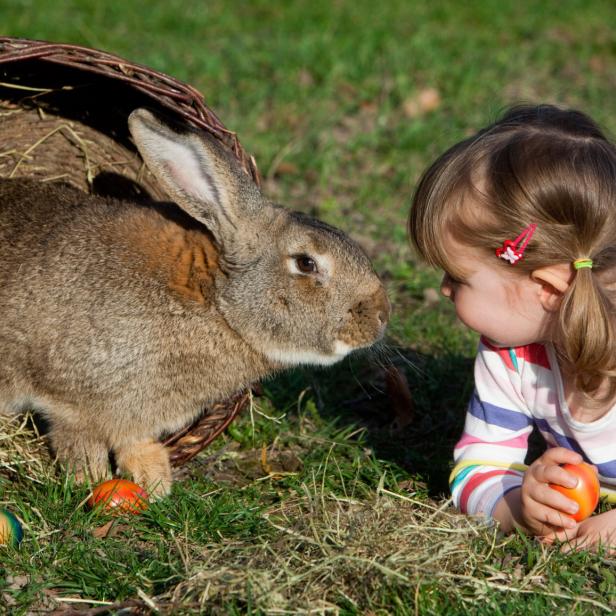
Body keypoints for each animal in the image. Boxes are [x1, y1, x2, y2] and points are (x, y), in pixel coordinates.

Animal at [0, 109, 390, 496]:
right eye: (306, 263)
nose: (381, 316)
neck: (217, 301)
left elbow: (134, 442)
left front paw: (155, 480)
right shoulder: (70, 401)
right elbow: (78, 440)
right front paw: (89, 479)